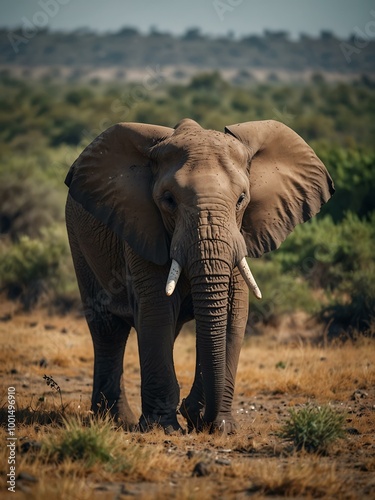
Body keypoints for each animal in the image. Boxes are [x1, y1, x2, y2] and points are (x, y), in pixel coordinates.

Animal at [64, 118, 334, 434]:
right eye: (168, 200)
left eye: (241, 199)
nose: (202, 419)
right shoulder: (144, 227)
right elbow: (156, 309)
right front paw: (164, 428)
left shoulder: (240, 236)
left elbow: (232, 311)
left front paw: (218, 425)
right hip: (78, 240)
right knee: (109, 329)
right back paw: (115, 420)